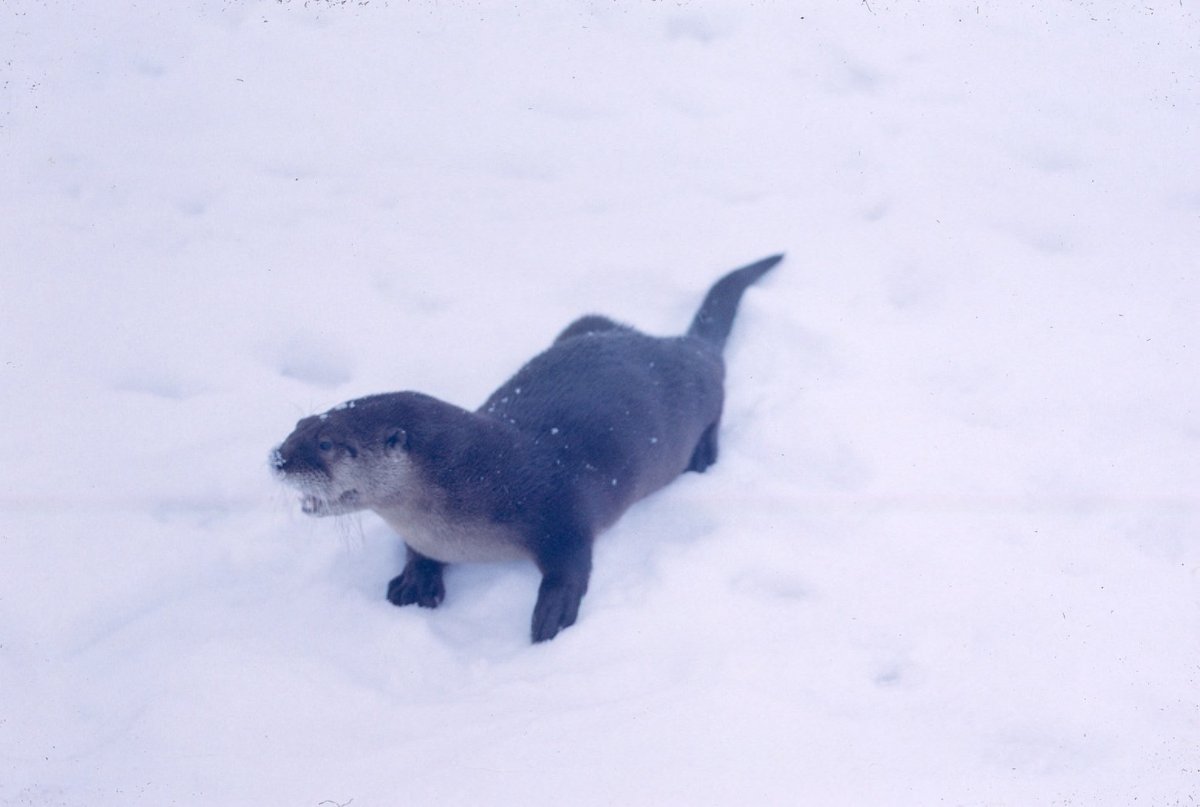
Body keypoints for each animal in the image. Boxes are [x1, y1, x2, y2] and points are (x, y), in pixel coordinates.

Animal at [272, 254, 782, 642]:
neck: (480, 481)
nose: (277, 458)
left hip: (700, 398)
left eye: (326, 443)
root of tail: (685, 346)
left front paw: (551, 617)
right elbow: (415, 550)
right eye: (298, 423)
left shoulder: (562, 508)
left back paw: (703, 457)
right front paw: (417, 578)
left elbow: (572, 564)